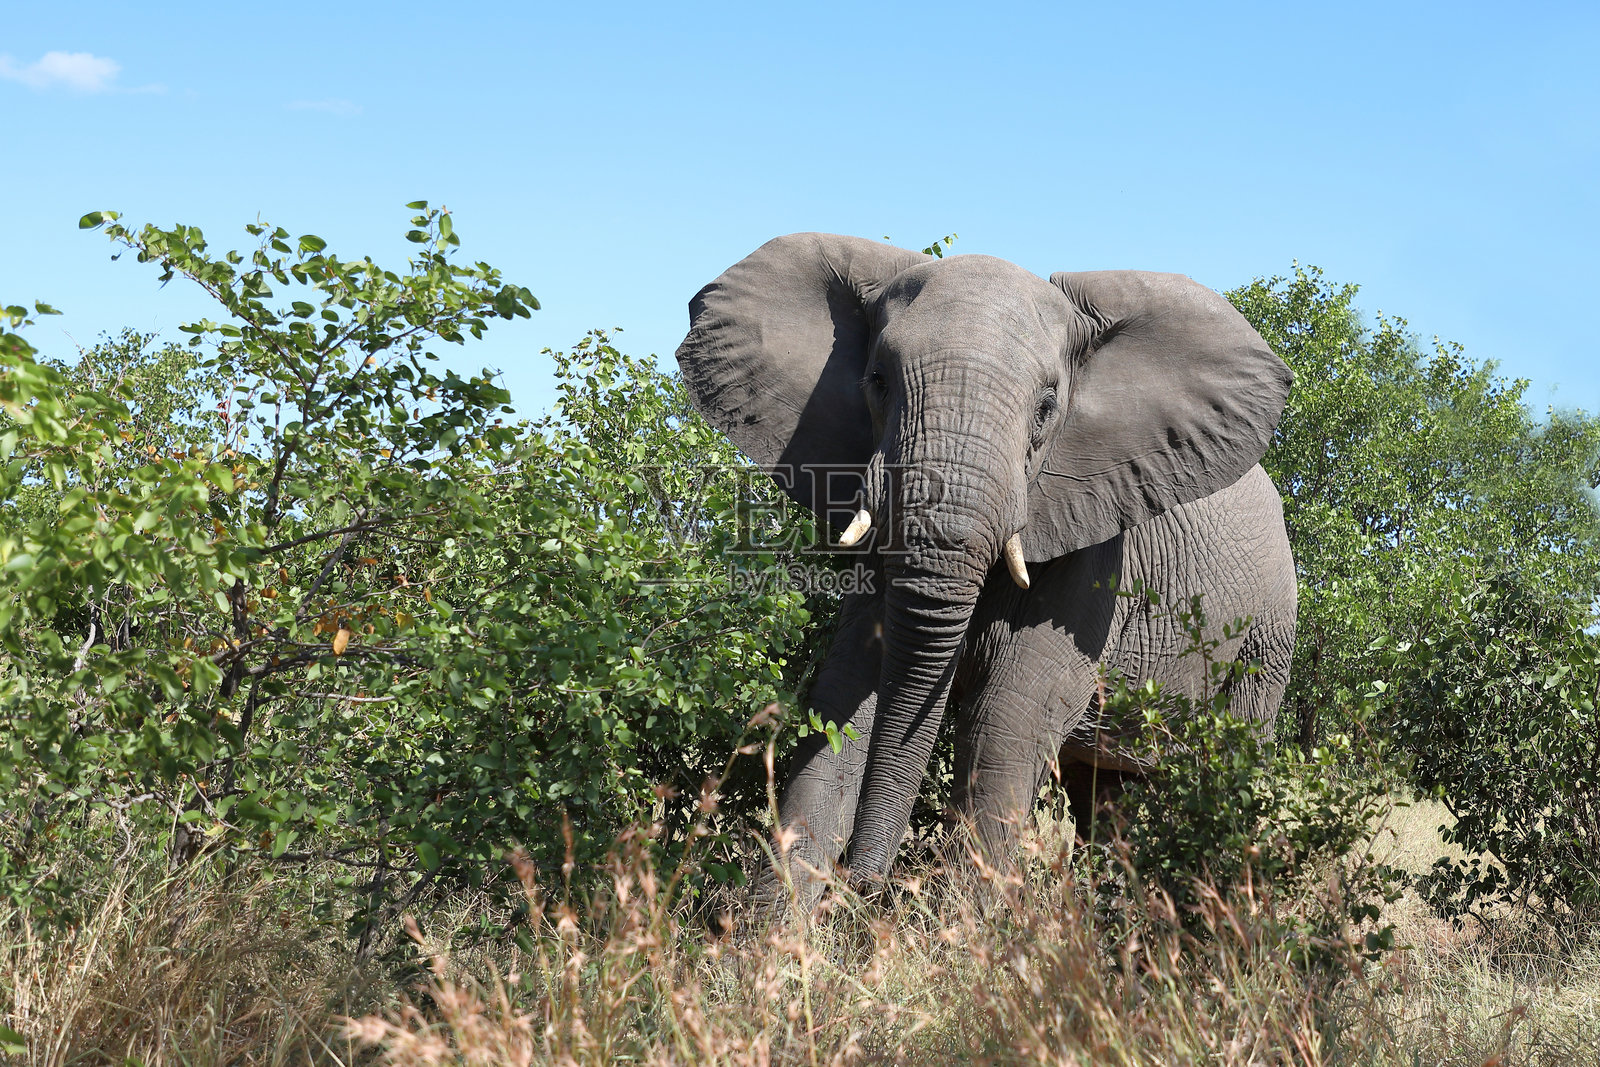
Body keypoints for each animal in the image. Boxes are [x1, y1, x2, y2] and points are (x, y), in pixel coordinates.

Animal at [674, 233, 1297, 910]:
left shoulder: (1098, 557)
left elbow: (1006, 721)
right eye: (877, 381)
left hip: (1265, 641)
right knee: (1106, 798)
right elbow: (844, 697)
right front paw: (773, 932)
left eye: (1047, 408)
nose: (866, 883)